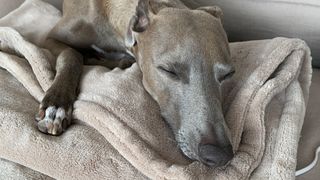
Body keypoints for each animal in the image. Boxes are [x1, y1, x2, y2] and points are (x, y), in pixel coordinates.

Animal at [37, 0, 235, 167]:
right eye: (169, 70)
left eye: (228, 74)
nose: (219, 155)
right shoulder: (51, 39)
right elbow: (72, 55)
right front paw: (56, 106)